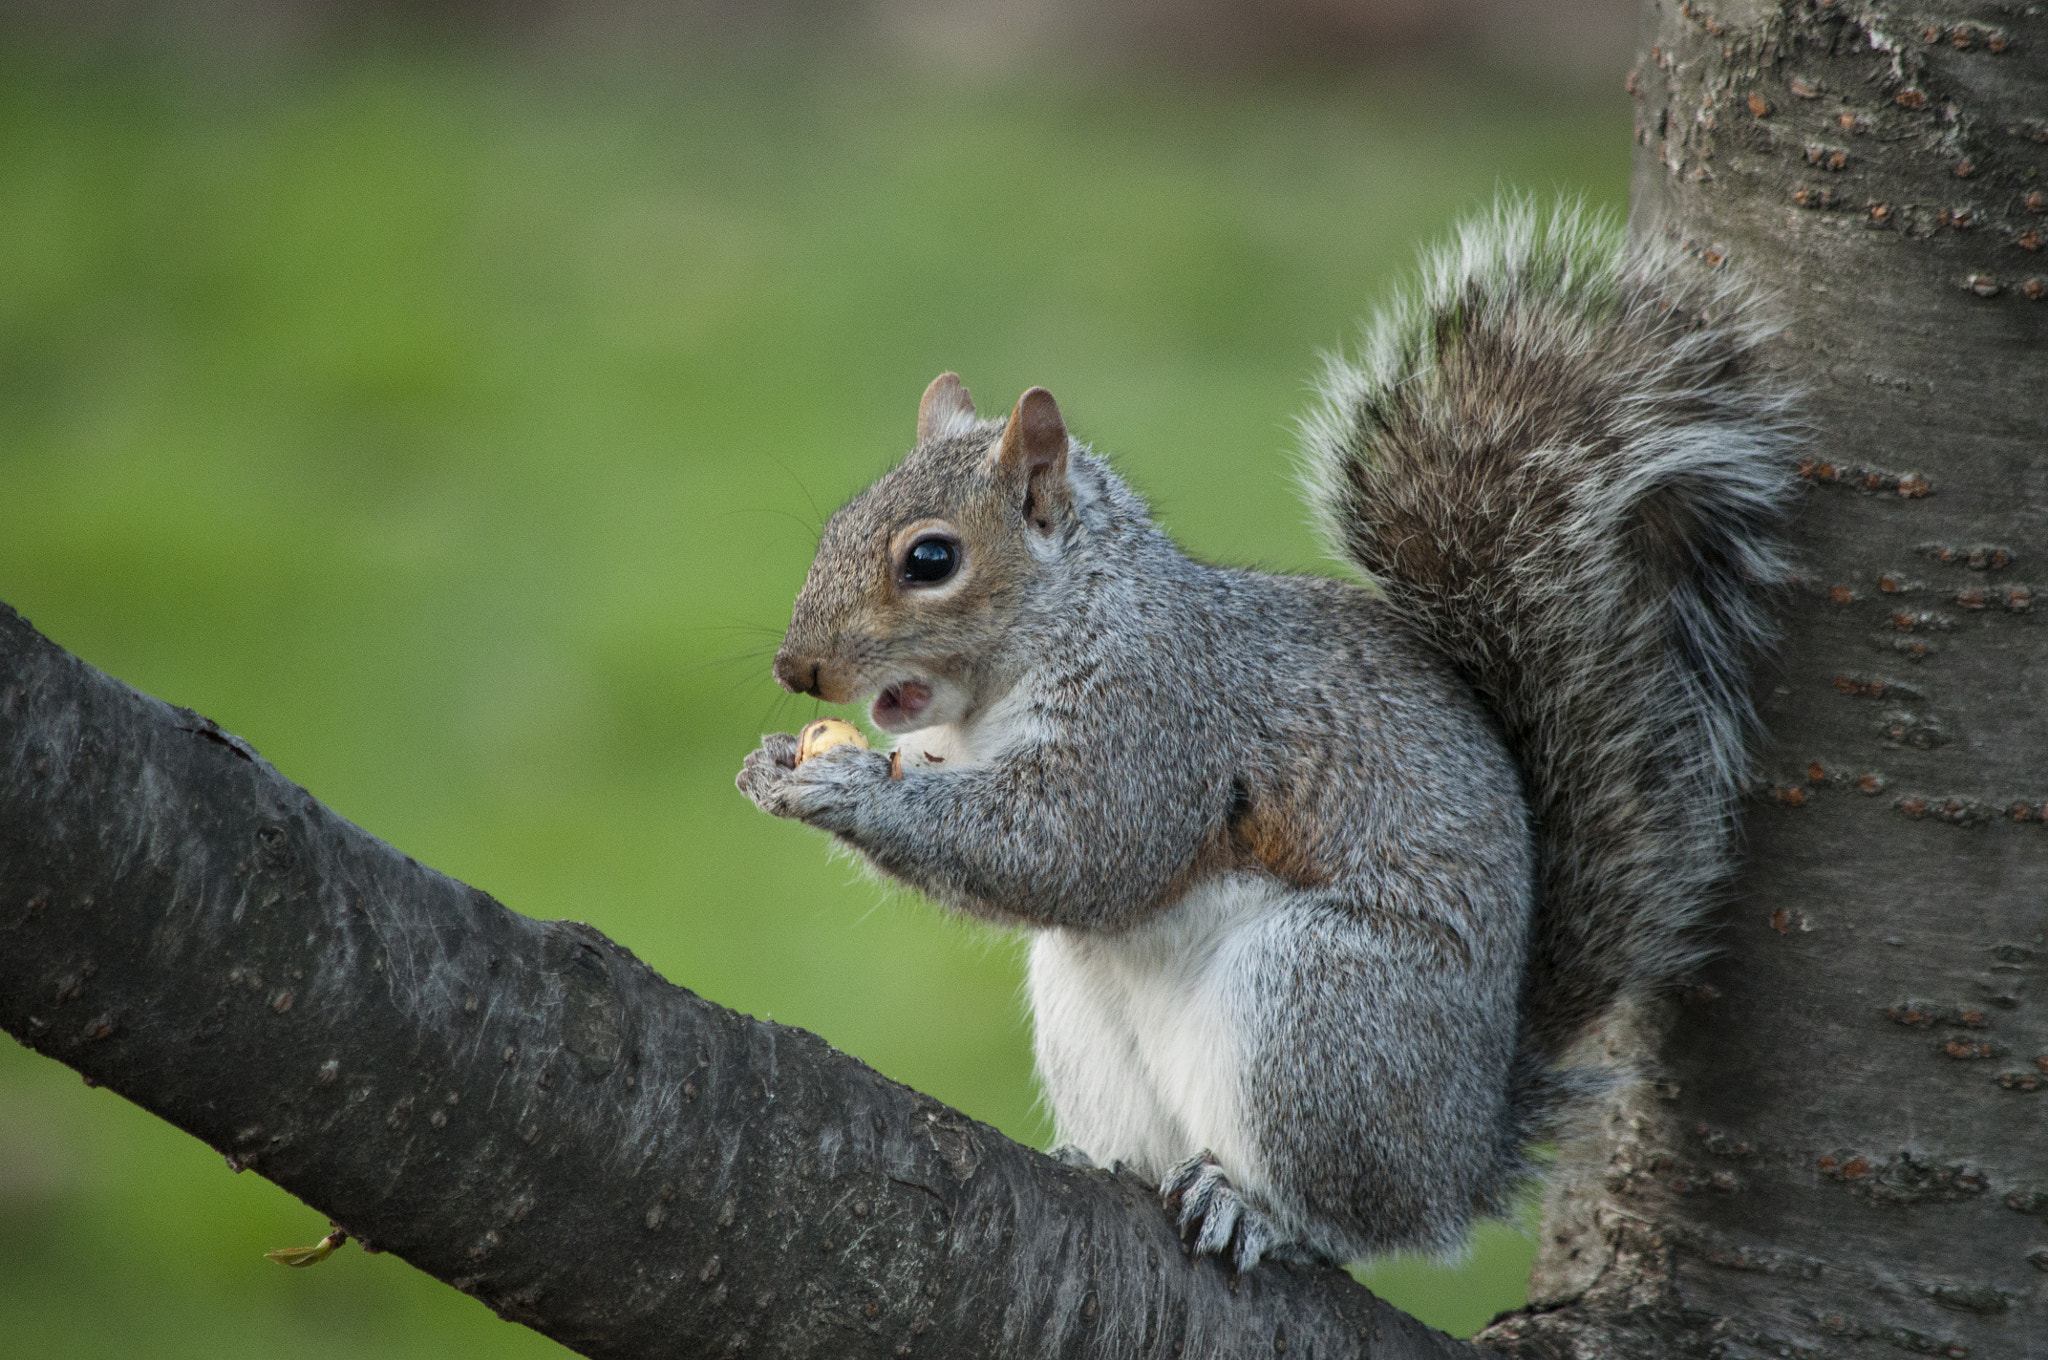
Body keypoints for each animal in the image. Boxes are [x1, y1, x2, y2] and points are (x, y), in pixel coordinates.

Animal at [736, 203, 1796, 1269]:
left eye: (930, 559)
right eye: (835, 524)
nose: (796, 670)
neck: (1060, 628)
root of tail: (1464, 1152)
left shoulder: (1160, 721)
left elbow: (1073, 848)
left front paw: (843, 789)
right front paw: (776, 766)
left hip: (1319, 1012)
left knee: (1349, 1217)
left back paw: (1260, 1210)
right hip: (1095, 1019)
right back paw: (1102, 1161)